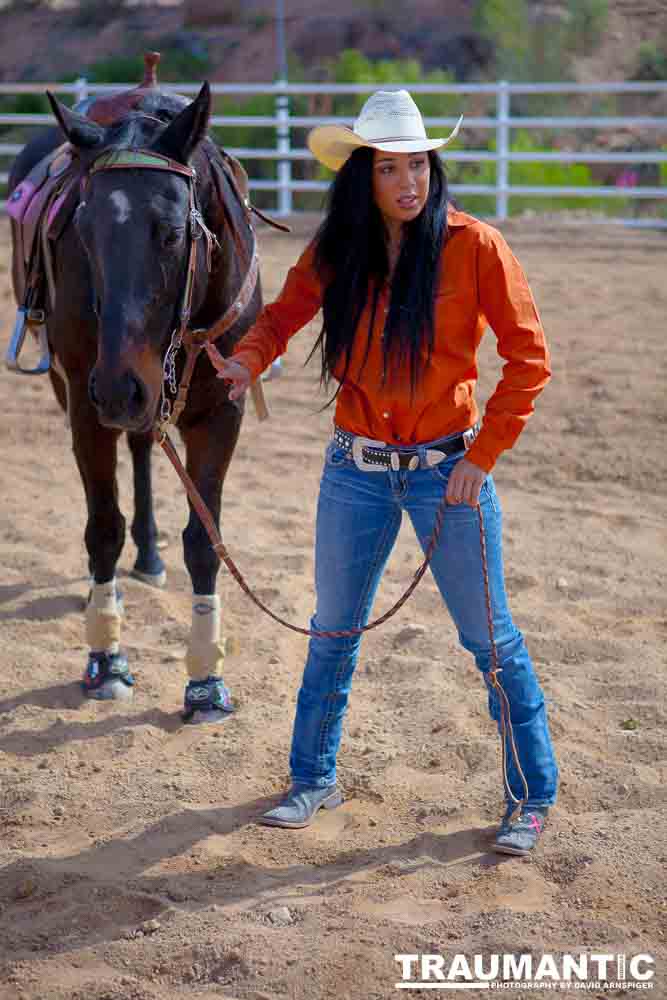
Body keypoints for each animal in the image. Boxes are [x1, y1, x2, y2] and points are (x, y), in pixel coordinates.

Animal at [9, 76, 264, 720]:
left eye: (172, 233)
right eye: (82, 231)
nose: (121, 387)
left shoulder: (223, 410)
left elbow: (205, 540)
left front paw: (205, 681)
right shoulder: (85, 403)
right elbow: (102, 526)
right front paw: (107, 661)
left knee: (146, 446)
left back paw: (149, 554)